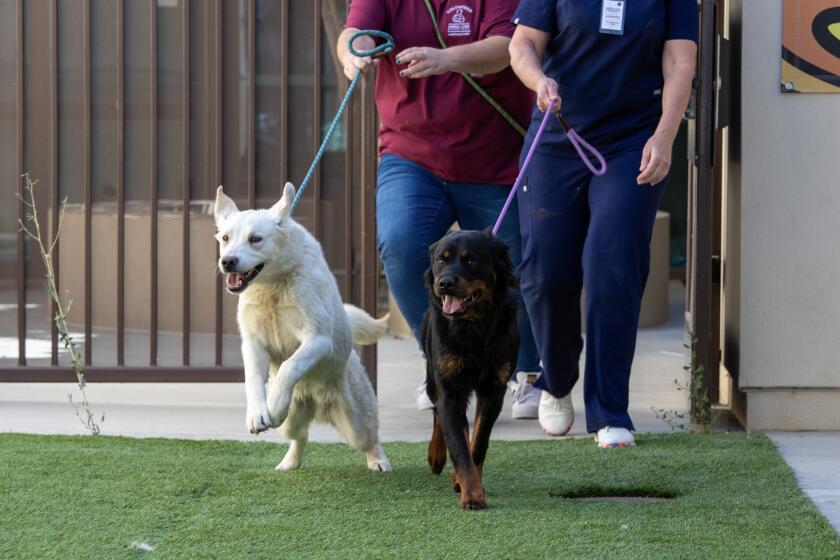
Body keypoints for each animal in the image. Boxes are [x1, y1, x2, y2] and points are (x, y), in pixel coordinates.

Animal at [213, 184, 390, 472]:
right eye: (226, 238)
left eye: (255, 239)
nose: (227, 261)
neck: (272, 287)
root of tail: (318, 404)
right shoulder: (252, 343)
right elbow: (253, 380)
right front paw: (258, 414)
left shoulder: (318, 339)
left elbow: (289, 366)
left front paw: (274, 403)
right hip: (290, 423)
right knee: (301, 436)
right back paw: (289, 462)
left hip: (356, 424)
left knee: (369, 438)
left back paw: (379, 461)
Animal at [420, 230, 520, 510]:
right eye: (440, 260)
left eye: (471, 260)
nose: (444, 283)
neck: (474, 327)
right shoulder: (450, 389)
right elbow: (459, 446)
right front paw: (472, 496)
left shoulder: (494, 390)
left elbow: (477, 444)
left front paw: (466, 484)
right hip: (432, 377)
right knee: (438, 413)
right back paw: (436, 456)